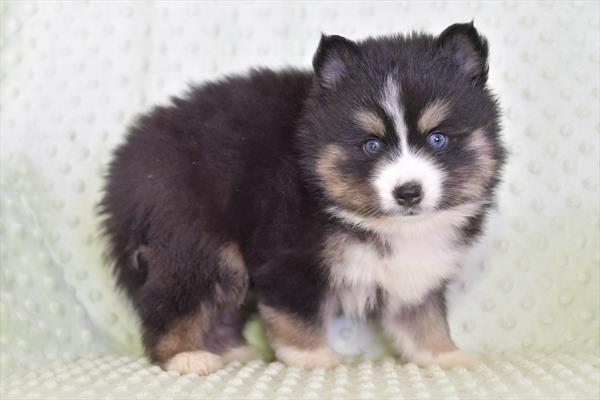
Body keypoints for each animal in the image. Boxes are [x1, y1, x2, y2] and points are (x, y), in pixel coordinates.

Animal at [99, 22, 506, 376]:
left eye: (438, 138)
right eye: (371, 145)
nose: (408, 192)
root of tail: (122, 174)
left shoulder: (415, 269)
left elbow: (423, 318)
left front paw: (445, 356)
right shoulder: (290, 255)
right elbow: (297, 314)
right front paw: (311, 357)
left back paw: (233, 351)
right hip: (199, 240)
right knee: (171, 300)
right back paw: (185, 356)